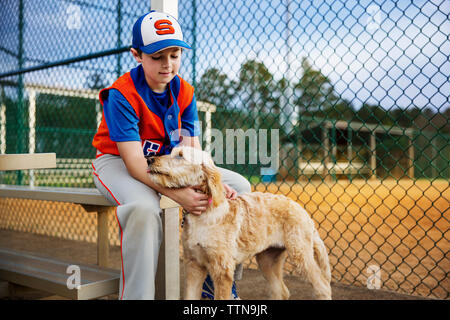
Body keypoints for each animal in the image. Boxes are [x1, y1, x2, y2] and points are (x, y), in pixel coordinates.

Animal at [147, 146, 330, 298]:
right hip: (268, 260)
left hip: (301, 255)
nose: (149, 159)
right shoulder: (194, 265)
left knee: (323, 287)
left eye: (180, 156)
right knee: (282, 291)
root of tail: (303, 211)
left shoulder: (222, 270)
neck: (203, 215)